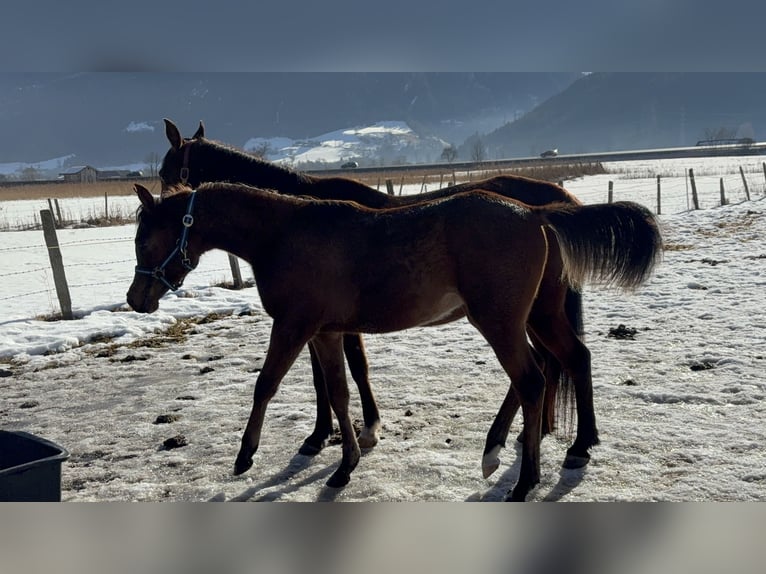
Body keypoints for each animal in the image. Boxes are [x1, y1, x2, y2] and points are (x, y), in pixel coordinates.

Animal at [127, 182, 664, 502]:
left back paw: (524, 479)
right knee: (570, 360)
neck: (284, 235)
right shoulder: (326, 331)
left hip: (500, 321)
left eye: (143, 239)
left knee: (532, 379)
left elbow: (266, 385)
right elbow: (339, 393)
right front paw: (345, 465)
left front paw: (245, 456)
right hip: (538, 315)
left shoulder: (294, 325)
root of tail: (536, 214)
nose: (137, 299)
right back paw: (564, 446)